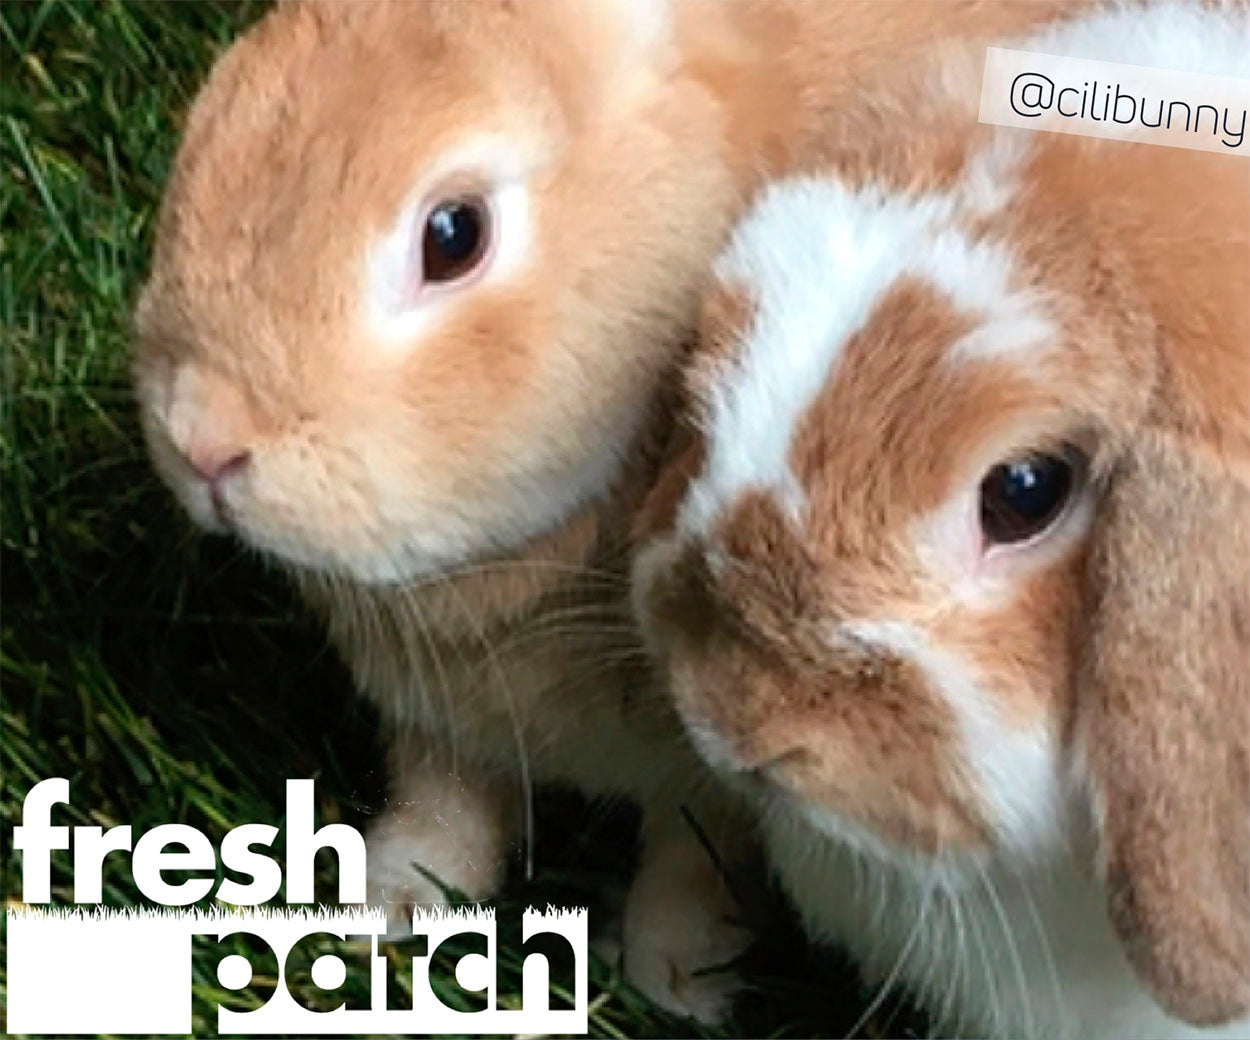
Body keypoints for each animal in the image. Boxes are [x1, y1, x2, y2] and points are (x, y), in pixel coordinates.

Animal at [131, 0, 1082, 1021]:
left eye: (453, 234)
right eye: (208, 120)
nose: (204, 439)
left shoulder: (718, 771)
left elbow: (690, 858)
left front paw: (676, 982)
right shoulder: (441, 722)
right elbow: (444, 809)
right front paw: (383, 916)